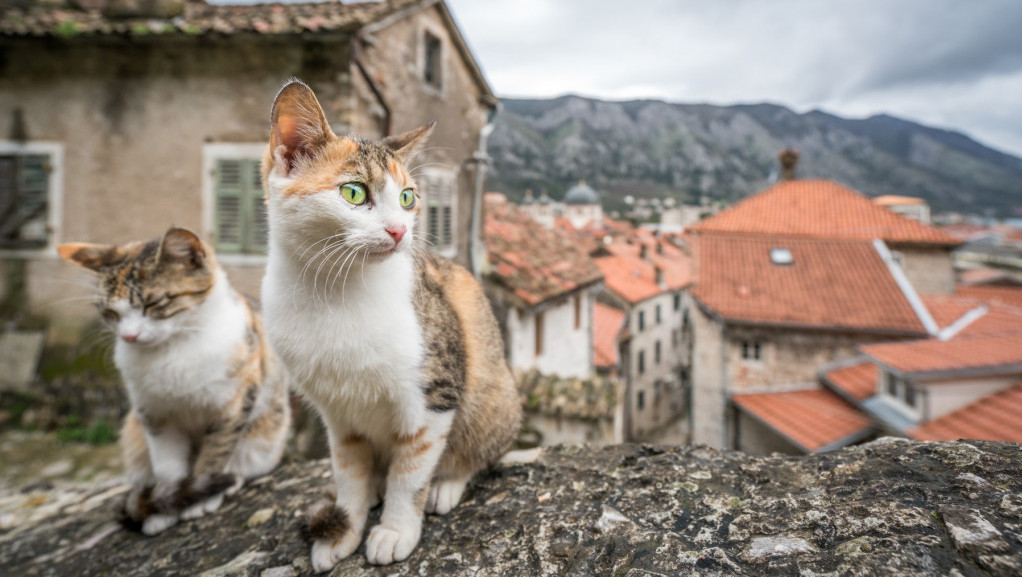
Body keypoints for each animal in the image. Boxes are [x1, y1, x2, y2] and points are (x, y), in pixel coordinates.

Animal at [57, 227, 290, 535]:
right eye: (110, 313)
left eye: (153, 303)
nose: (129, 336)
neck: (172, 349)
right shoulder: (154, 415)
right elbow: (168, 464)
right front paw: (166, 509)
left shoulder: (234, 402)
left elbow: (216, 452)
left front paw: (199, 501)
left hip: (264, 438)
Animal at [259, 78, 523, 567]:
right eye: (354, 193)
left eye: (407, 197)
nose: (400, 231)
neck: (335, 293)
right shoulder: (337, 414)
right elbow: (348, 471)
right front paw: (345, 526)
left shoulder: (434, 392)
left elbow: (411, 469)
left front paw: (397, 528)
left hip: (493, 397)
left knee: (479, 451)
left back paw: (447, 484)